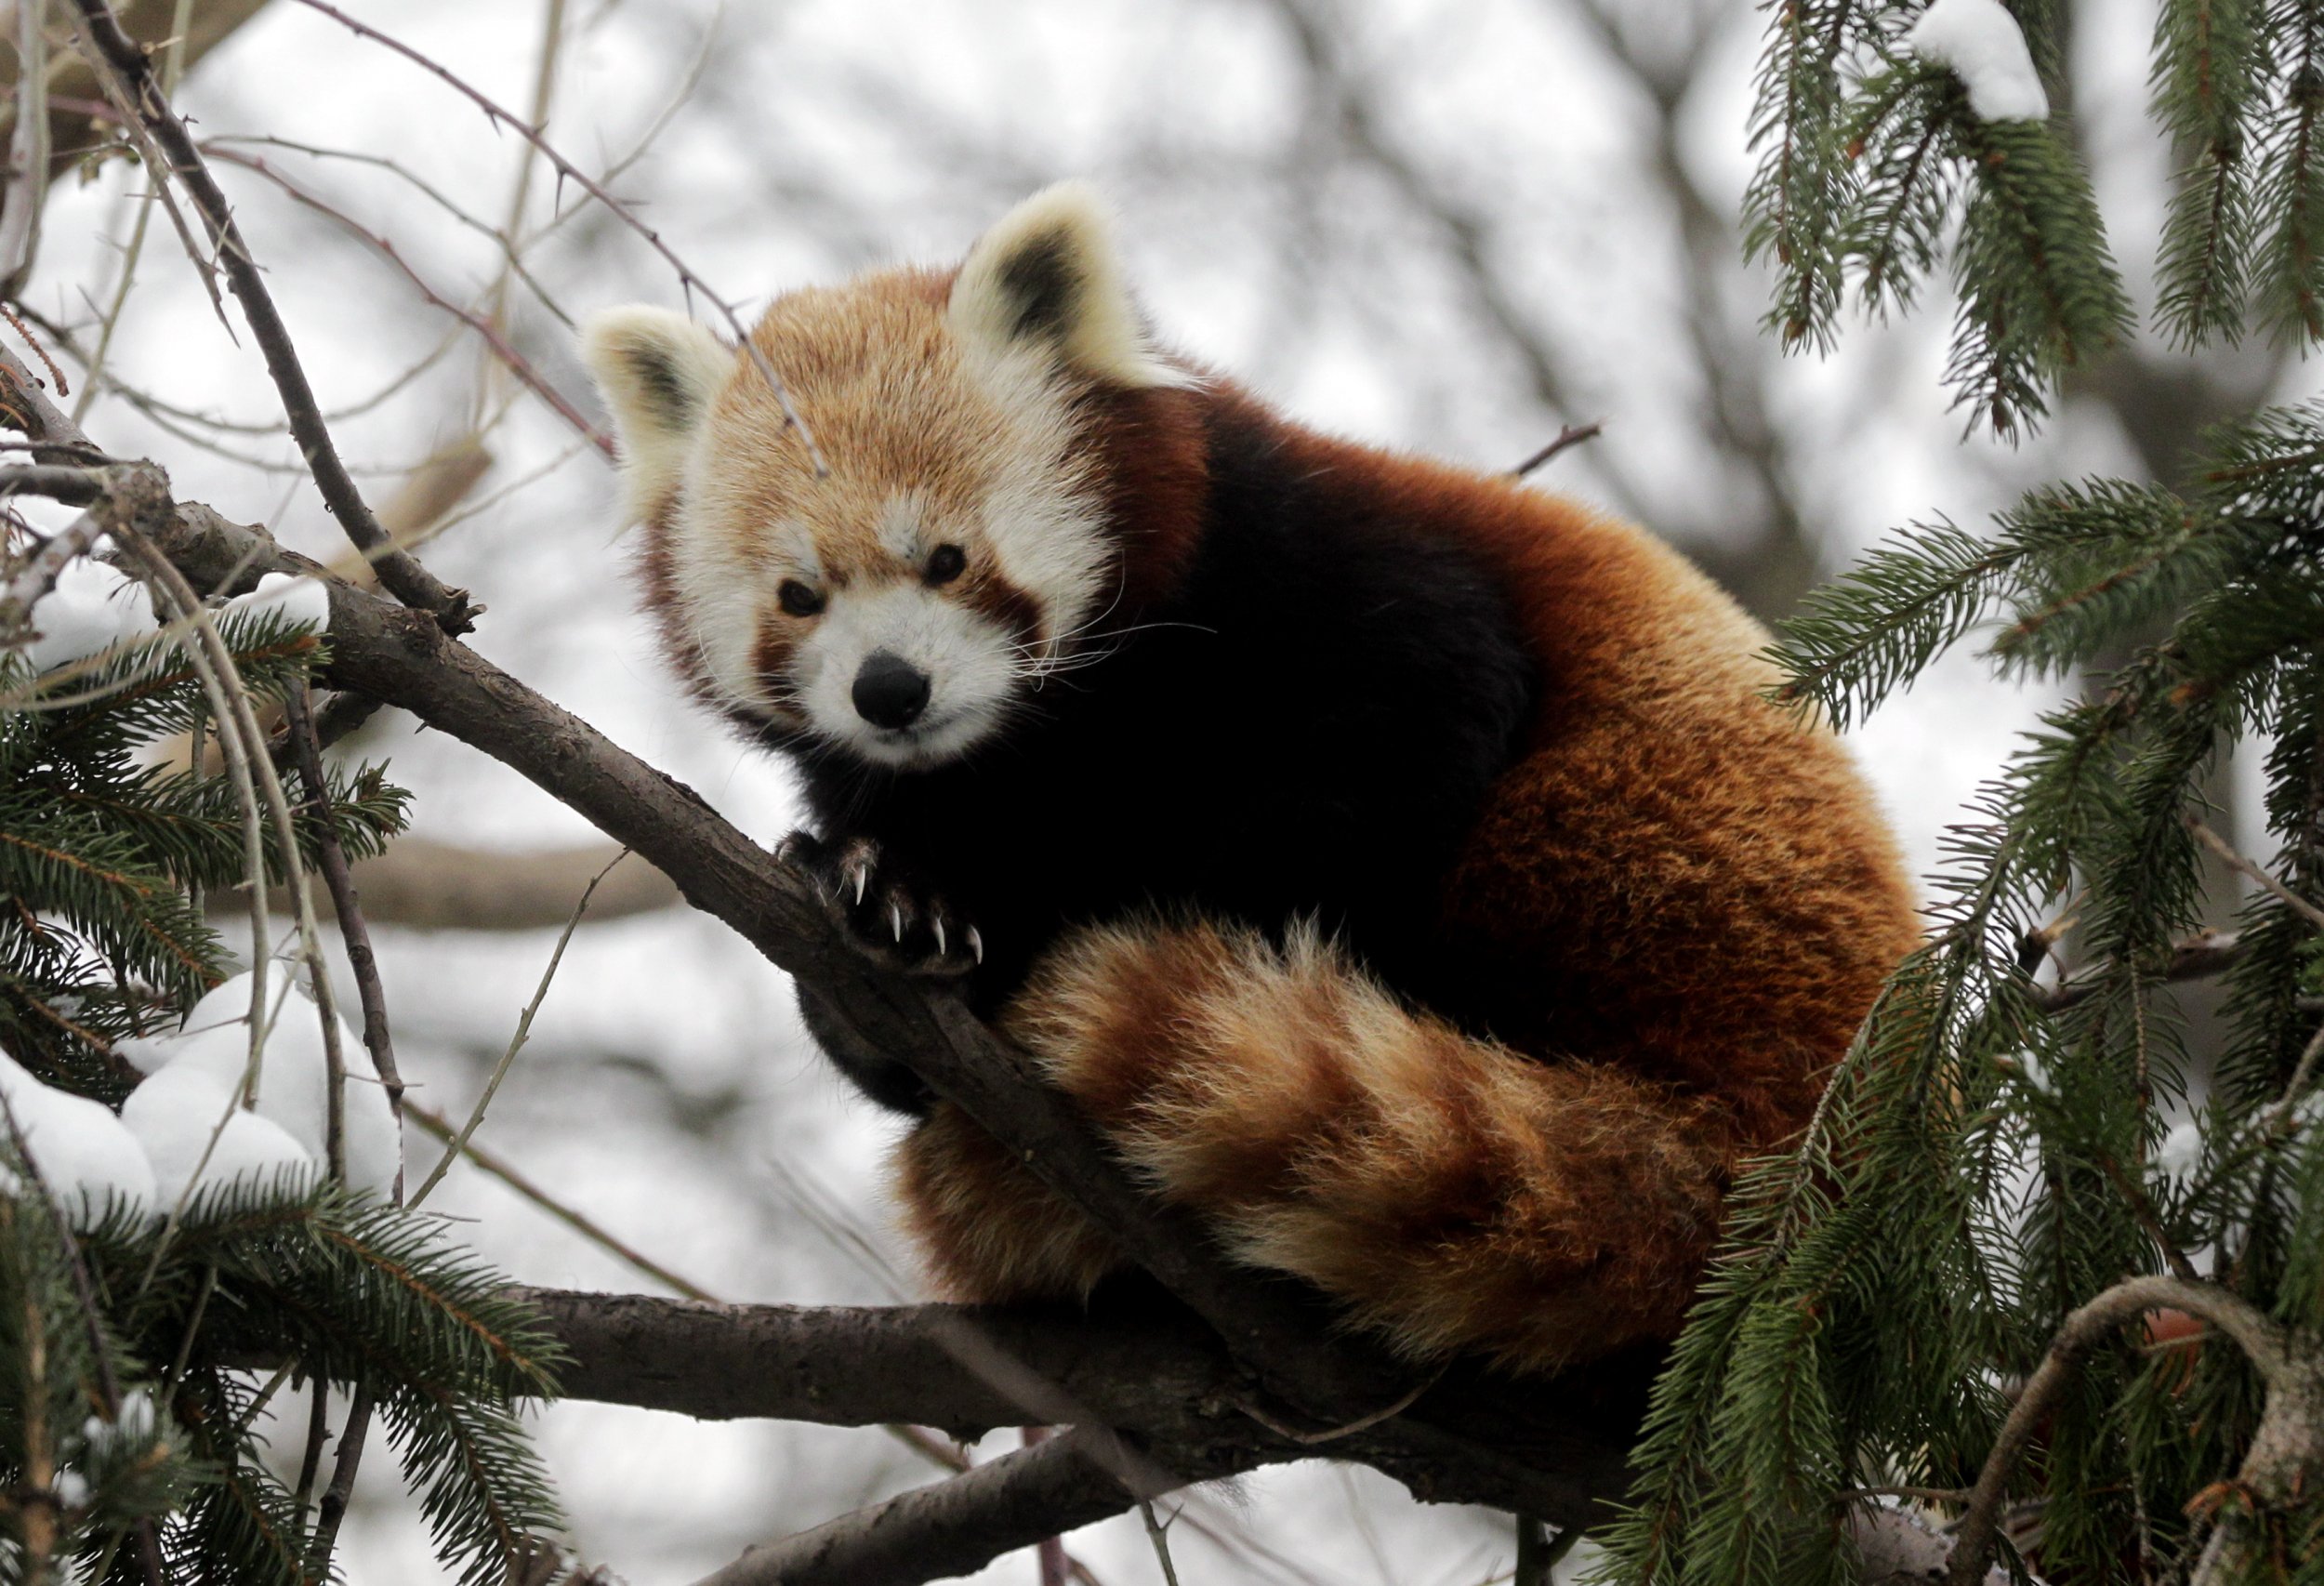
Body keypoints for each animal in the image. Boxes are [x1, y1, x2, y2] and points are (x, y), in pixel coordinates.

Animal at [581, 184, 1918, 1372]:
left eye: (948, 558)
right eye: (799, 595)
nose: (890, 689)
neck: (1041, 745)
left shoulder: (1323, 576)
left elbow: (1388, 753)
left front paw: (1054, 935)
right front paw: (888, 911)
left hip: (1659, 856)